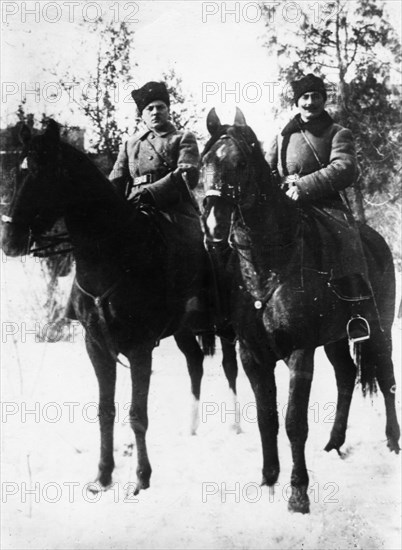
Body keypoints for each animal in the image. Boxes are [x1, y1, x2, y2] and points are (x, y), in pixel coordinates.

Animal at [0, 119, 239, 496]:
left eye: (43, 172)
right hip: (184, 330)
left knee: (230, 367)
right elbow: (105, 411)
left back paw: (236, 426)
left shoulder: (140, 348)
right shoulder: (96, 346)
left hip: (226, 324)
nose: (9, 242)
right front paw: (103, 475)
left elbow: (137, 415)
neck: (114, 253)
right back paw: (192, 428)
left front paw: (141, 477)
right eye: (20, 170)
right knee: (195, 365)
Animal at [201, 110, 398, 516]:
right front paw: (269, 479)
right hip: (337, 338)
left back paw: (392, 440)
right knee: (346, 375)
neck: (270, 264)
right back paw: (335, 441)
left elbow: (294, 422)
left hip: (380, 328)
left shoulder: (299, 352)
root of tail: (376, 240)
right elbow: (267, 418)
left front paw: (298, 493)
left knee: (386, 377)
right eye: (203, 161)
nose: (213, 226)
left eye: (240, 163)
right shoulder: (252, 356)